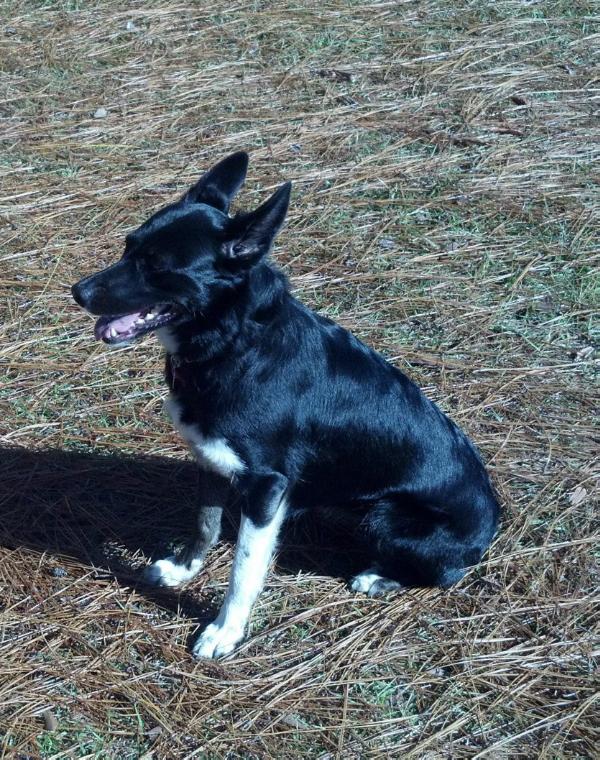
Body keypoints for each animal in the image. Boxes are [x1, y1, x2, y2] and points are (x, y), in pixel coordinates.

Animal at [70, 151, 500, 656]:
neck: (234, 342)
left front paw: (225, 631)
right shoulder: (211, 460)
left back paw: (379, 578)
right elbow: (205, 525)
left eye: (156, 266)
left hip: (386, 518)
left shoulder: (265, 487)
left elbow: (244, 569)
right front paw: (183, 571)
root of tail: (493, 523)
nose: (78, 291)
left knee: (446, 574)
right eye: (128, 246)